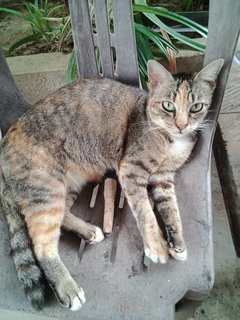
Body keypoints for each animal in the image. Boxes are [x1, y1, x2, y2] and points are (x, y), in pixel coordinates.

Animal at [0, 58, 223, 312]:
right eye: (168, 106)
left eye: (196, 107)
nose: (181, 125)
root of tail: (4, 144)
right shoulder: (132, 170)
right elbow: (145, 212)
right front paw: (156, 245)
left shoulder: (163, 178)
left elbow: (171, 211)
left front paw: (177, 243)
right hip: (46, 191)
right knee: (41, 245)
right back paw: (67, 288)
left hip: (68, 185)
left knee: (63, 214)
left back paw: (88, 231)